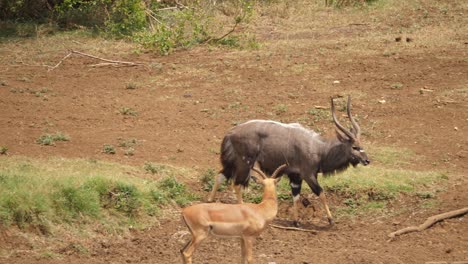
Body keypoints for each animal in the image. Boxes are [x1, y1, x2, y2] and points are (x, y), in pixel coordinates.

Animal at [208, 95, 370, 225]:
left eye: (361, 145)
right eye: (355, 147)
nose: (367, 161)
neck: (319, 149)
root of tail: (230, 133)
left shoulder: (295, 176)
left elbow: (296, 196)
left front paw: (296, 221)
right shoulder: (308, 175)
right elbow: (321, 192)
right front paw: (331, 220)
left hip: (234, 163)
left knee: (221, 175)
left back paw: (209, 201)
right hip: (244, 163)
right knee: (236, 184)